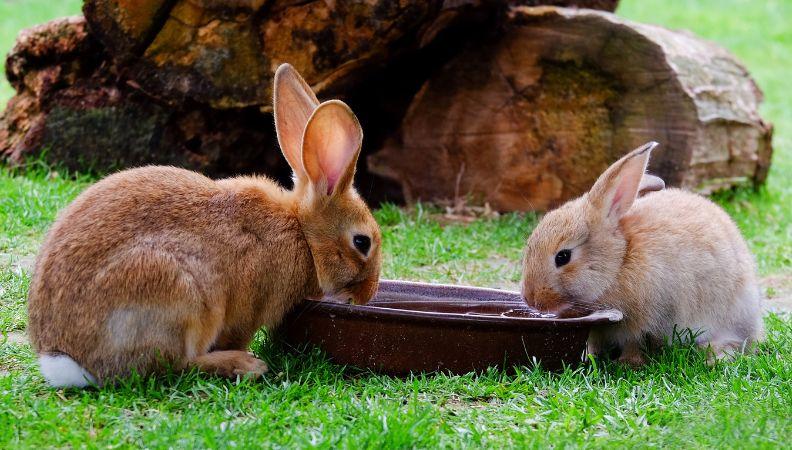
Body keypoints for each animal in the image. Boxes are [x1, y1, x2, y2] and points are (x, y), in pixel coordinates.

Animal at [27, 63, 382, 388]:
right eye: (362, 242)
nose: (367, 295)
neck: (301, 233)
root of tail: (64, 359)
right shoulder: (249, 308)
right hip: (180, 296)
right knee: (175, 365)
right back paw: (244, 365)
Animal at [521, 142, 763, 366]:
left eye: (563, 257)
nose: (531, 299)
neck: (619, 262)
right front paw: (591, 356)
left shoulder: (648, 319)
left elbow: (636, 341)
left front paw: (629, 362)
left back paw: (715, 356)